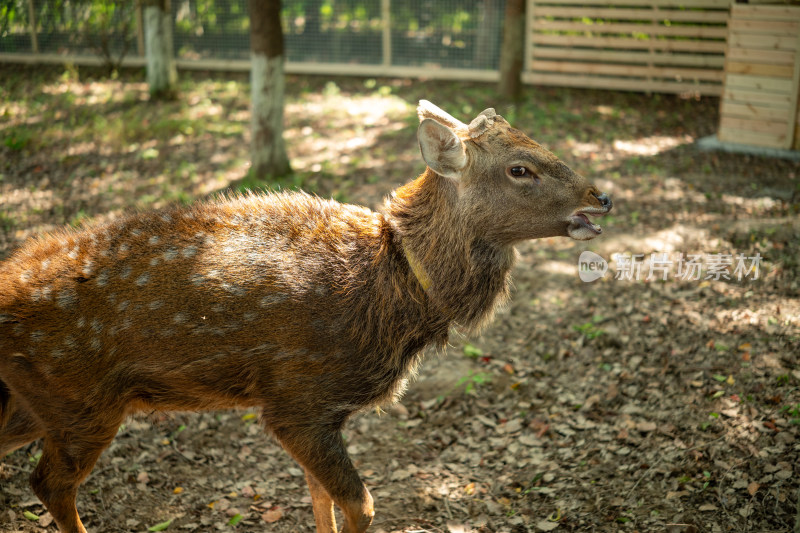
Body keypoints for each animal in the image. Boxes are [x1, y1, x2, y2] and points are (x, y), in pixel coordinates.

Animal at [1, 101, 612, 532]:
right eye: (520, 168)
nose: (601, 197)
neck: (392, 294)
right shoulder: (299, 398)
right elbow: (361, 507)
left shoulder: (318, 413)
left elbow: (322, 502)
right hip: (80, 398)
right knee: (49, 484)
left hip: (36, 402)